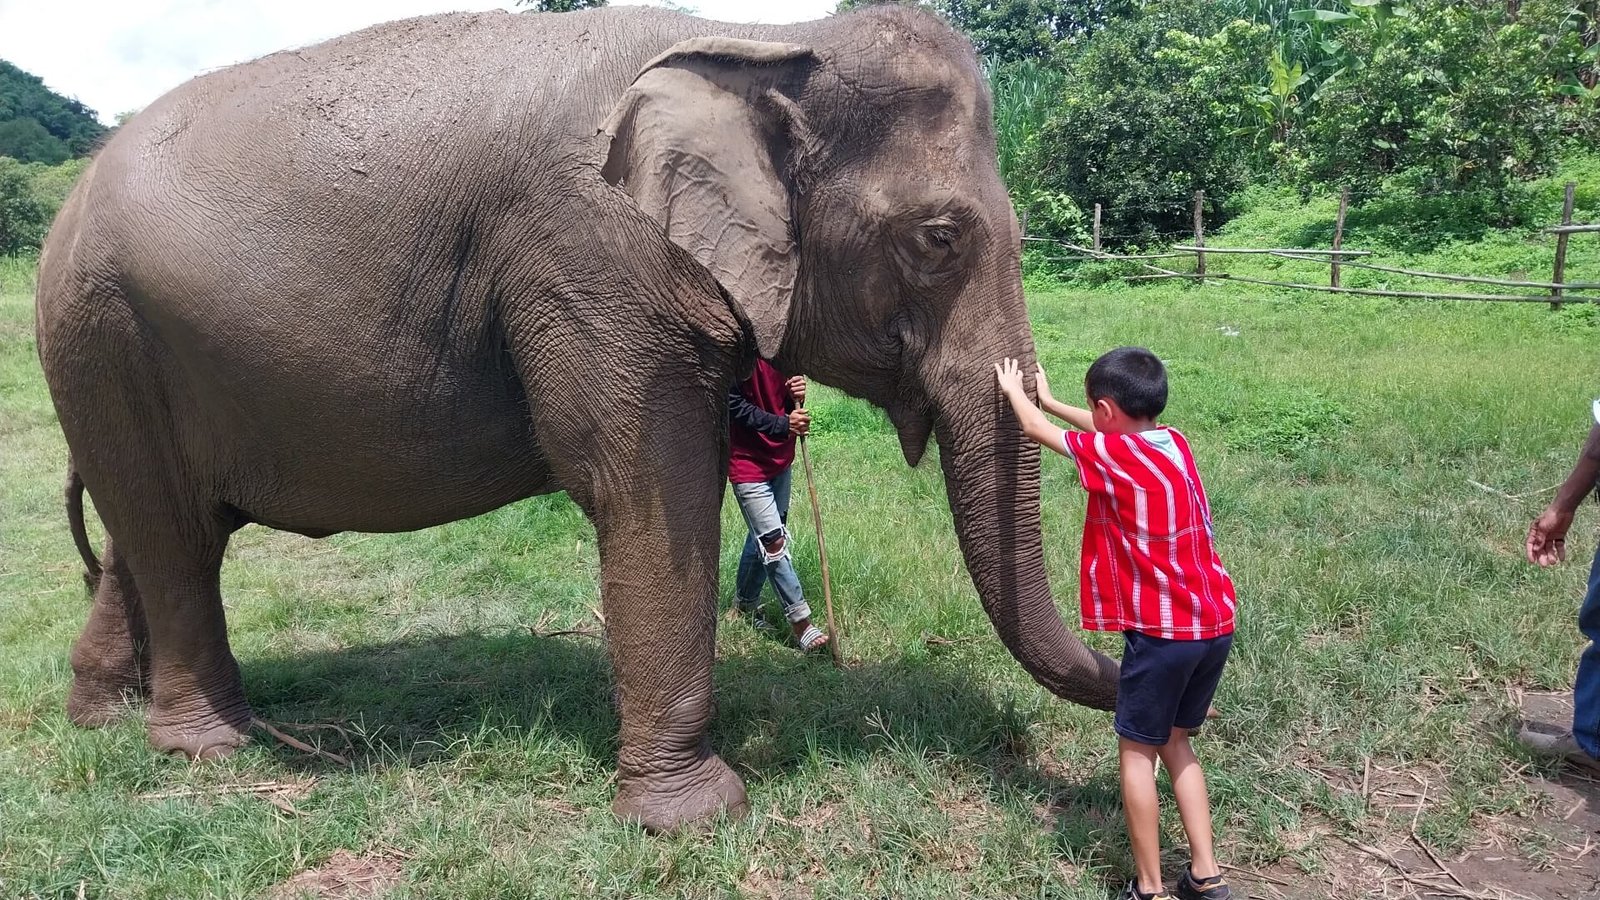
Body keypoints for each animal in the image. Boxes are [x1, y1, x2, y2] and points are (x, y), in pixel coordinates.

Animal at [34, 4, 1119, 832]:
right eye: (937, 239)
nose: (1124, 670)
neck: (770, 40)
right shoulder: (596, 266)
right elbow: (647, 490)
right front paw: (694, 816)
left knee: (154, 531)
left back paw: (101, 715)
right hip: (102, 334)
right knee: (175, 538)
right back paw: (208, 749)